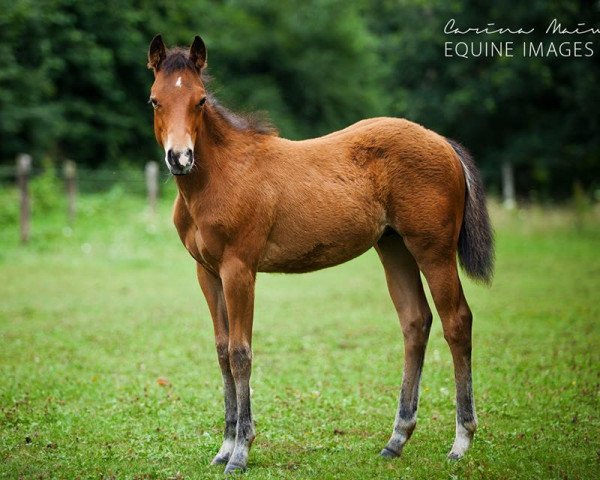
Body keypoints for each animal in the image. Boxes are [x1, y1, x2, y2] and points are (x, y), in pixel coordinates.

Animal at [146, 35, 492, 474]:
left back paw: (461, 441)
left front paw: (241, 451)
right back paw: (396, 440)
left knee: (456, 322)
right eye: (155, 100)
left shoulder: (239, 269)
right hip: (393, 246)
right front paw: (224, 446)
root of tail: (443, 142)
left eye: (201, 100)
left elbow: (241, 353)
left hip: (434, 250)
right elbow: (222, 352)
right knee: (416, 322)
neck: (220, 176)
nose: (180, 158)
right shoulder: (207, 273)